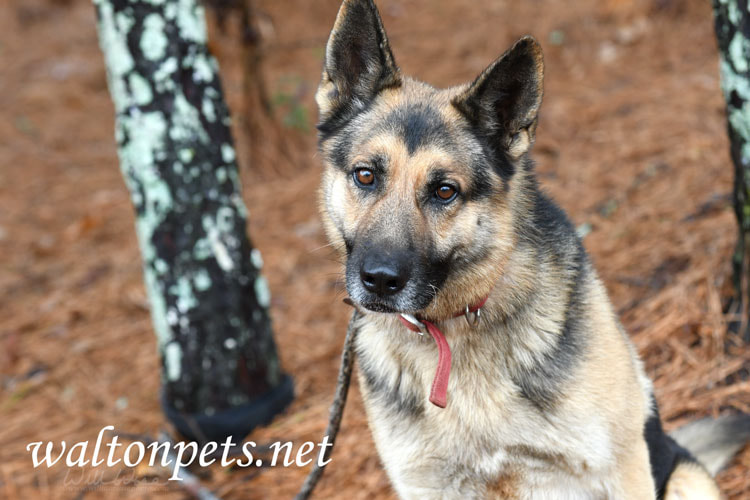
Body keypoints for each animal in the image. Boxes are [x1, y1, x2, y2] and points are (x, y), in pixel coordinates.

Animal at [316, 1, 750, 498]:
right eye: (365, 175)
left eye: (445, 191)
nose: (380, 281)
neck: (457, 327)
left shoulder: (622, 471)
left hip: (683, 479)